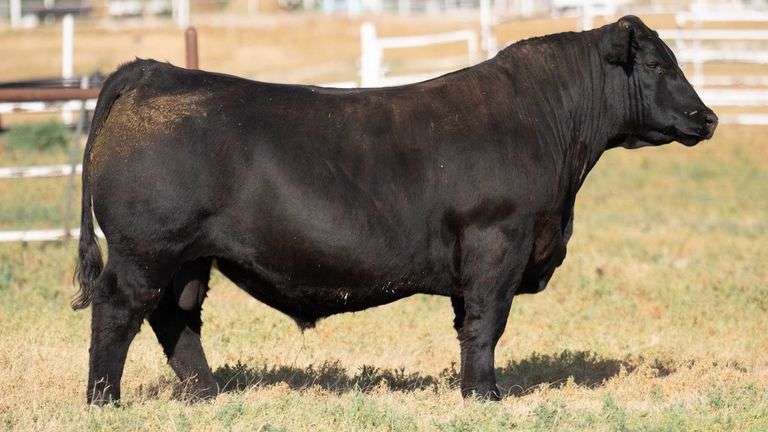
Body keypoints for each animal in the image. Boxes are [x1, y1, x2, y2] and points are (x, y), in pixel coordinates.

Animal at [72, 15, 717, 405]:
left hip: (188, 258)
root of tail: (154, 71)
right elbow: (487, 323)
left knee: (176, 318)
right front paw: (484, 396)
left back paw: (207, 393)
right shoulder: (497, 244)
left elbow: (469, 325)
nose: (706, 117)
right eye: (657, 65)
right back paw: (104, 399)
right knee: (118, 310)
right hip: (145, 250)